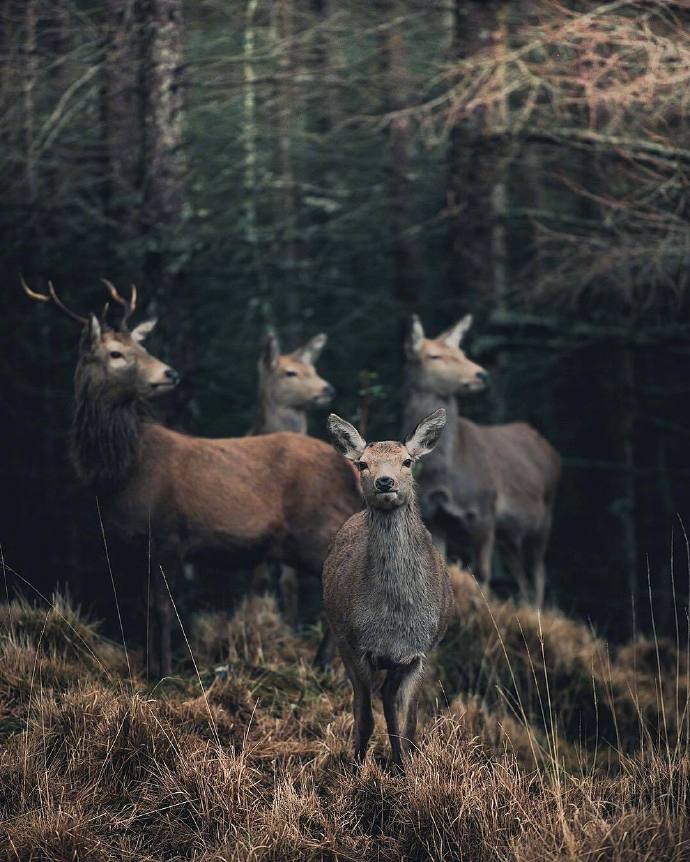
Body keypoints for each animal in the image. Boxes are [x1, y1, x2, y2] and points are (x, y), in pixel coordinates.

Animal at [249, 330, 335, 626]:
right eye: (290, 372)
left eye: (314, 368)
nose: (327, 388)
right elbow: (261, 581)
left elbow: (289, 582)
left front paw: (290, 625)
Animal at [323, 408, 453, 768]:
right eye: (362, 464)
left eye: (407, 461)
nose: (385, 482)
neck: (394, 621)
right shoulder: (357, 646)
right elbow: (365, 718)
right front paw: (356, 769)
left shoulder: (420, 652)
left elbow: (407, 723)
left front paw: (405, 769)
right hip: (340, 638)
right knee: (364, 703)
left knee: (390, 702)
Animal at [403, 314, 561, 606]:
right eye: (434, 356)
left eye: (462, 353)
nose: (481, 374)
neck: (444, 472)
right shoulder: (435, 516)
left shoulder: (484, 510)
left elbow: (483, 574)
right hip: (509, 534)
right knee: (522, 577)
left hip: (545, 516)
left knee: (539, 573)